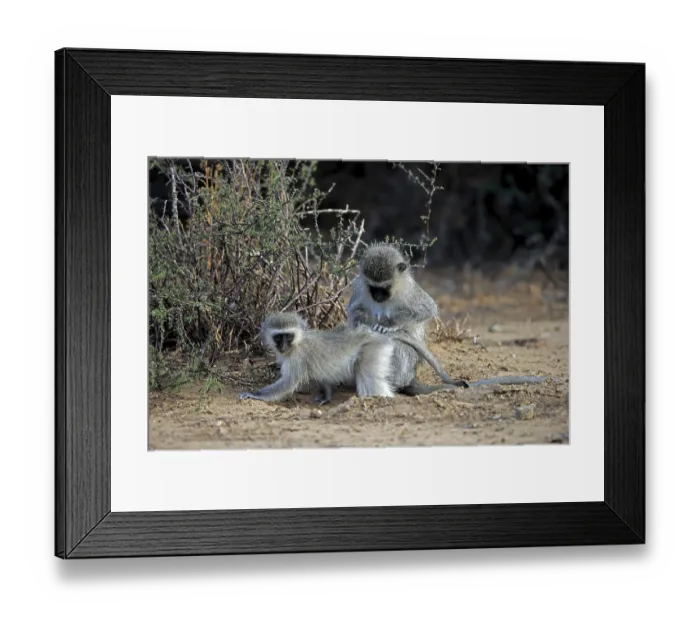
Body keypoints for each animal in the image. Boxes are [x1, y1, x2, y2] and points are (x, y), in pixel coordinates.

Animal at [238, 312, 468, 405]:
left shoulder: (297, 359)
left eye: (288, 336)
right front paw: (325, 396)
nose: (283, 346)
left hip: (373, 350)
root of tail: (374, 334)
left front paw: (254, 394)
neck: (299, 342)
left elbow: (287, 384)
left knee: (368, 376)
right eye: (278, 337)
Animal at [347, 242, 468, 396]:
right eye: (372, 287)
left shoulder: (409, 290)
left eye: (386, 287)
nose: (377, 297)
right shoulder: (359, 287)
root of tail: (411, 377)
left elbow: (427, 308)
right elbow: (354, 310)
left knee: (399, 345)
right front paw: (362, 322)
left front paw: (388, 324)